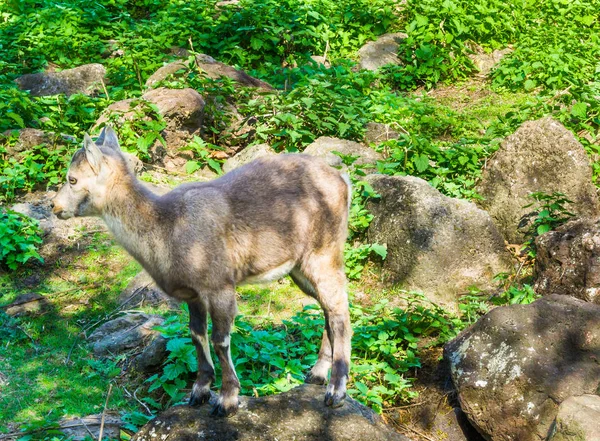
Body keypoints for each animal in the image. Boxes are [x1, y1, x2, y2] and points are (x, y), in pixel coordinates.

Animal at [52, 125, 352, 414]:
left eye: (72, 179)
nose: (54, 206)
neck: (166, 226)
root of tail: (343, 182)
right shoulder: (193, 294)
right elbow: (197, 335)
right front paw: (199, 392)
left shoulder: (220, 286)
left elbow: (220, 340)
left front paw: (227, 400)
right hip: (300, 268)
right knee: (328, 310)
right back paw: (316, 374)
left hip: (324, 254)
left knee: (340, 313)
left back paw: (335, 392)